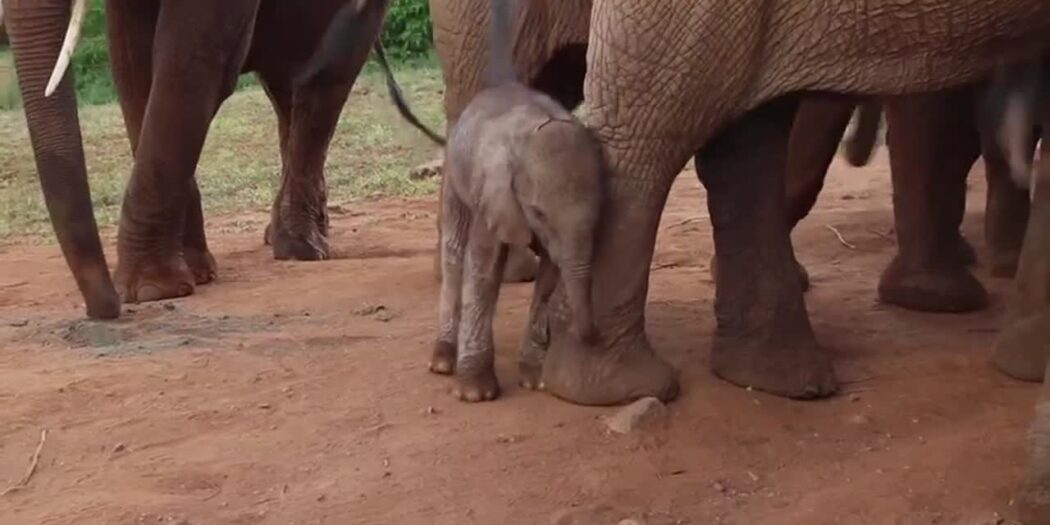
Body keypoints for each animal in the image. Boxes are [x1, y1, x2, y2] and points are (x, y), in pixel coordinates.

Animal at [2, 0, 393, 317]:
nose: (108, 307)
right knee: (287, 91)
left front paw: (151, 290)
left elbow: (192, 56)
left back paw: (300, 248)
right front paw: (192, 275)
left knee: (323, 83)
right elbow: (131, 61)